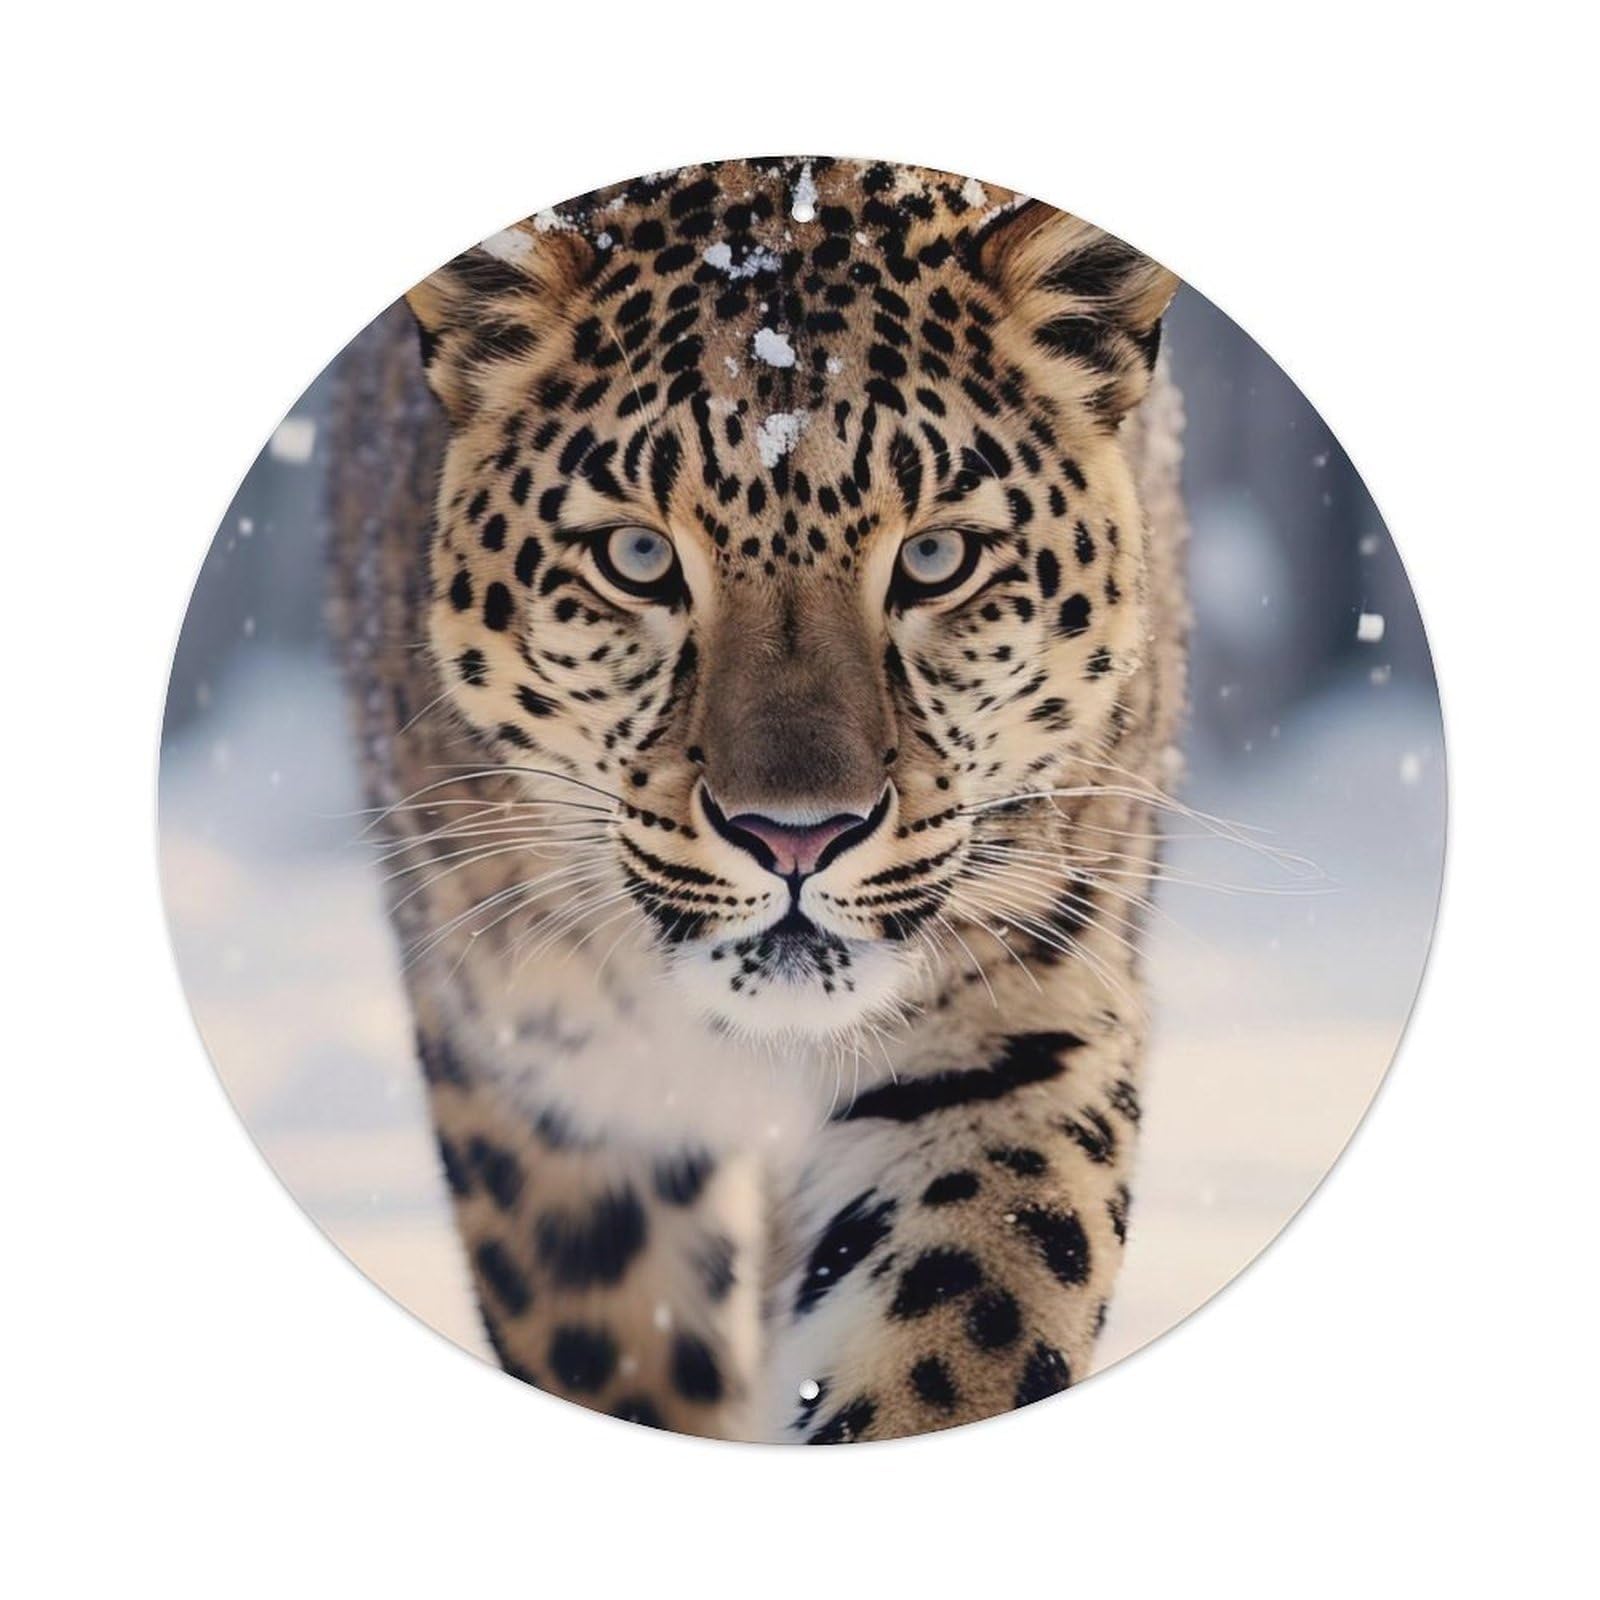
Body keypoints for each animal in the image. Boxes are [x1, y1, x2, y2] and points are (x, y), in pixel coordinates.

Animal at [328, 157, 1188, 1442]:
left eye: (934, 559)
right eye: (638, 559)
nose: (796, 836)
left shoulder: (1013, 1034)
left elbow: (954, 1339)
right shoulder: (549, 1082)